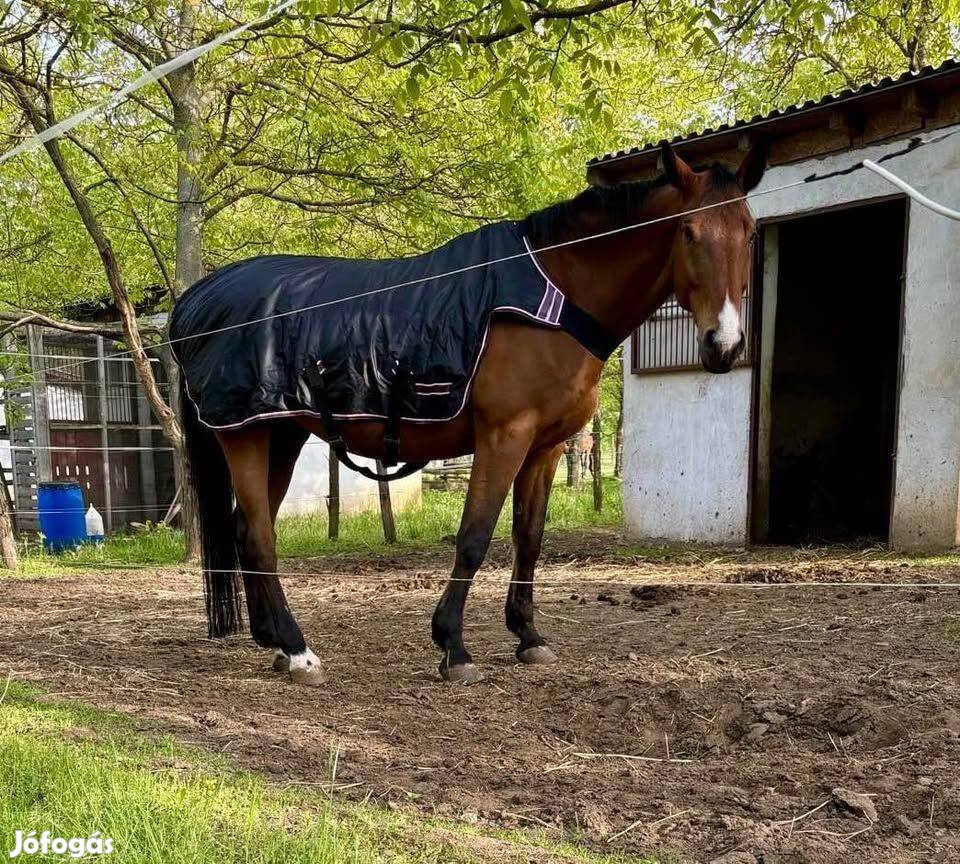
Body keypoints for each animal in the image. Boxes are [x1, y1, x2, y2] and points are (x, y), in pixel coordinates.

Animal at [178, 147, 764, 688]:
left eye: (751, 232)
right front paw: (453, 647)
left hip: (282, 434)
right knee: (258, 535)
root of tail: (195, 300)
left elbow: (529, 536)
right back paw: (299, 650)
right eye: (688, 231)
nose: (725, 344)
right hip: (245, 436)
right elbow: (474, 537)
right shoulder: (504, 437)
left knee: (246, 529)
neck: (556, 297)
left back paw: (274, 642)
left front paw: (528, 637)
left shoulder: (546, 448)